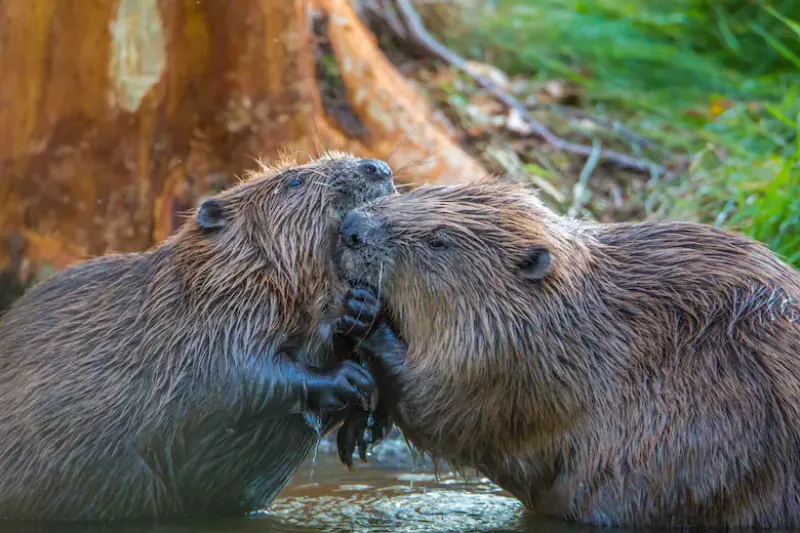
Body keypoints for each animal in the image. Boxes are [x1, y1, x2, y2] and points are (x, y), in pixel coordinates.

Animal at [334, 178, 800, 528]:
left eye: (439, 241)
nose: (351, 227)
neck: (583, 321)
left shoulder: (509, 360)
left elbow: (442, 404)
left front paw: (366, 315)